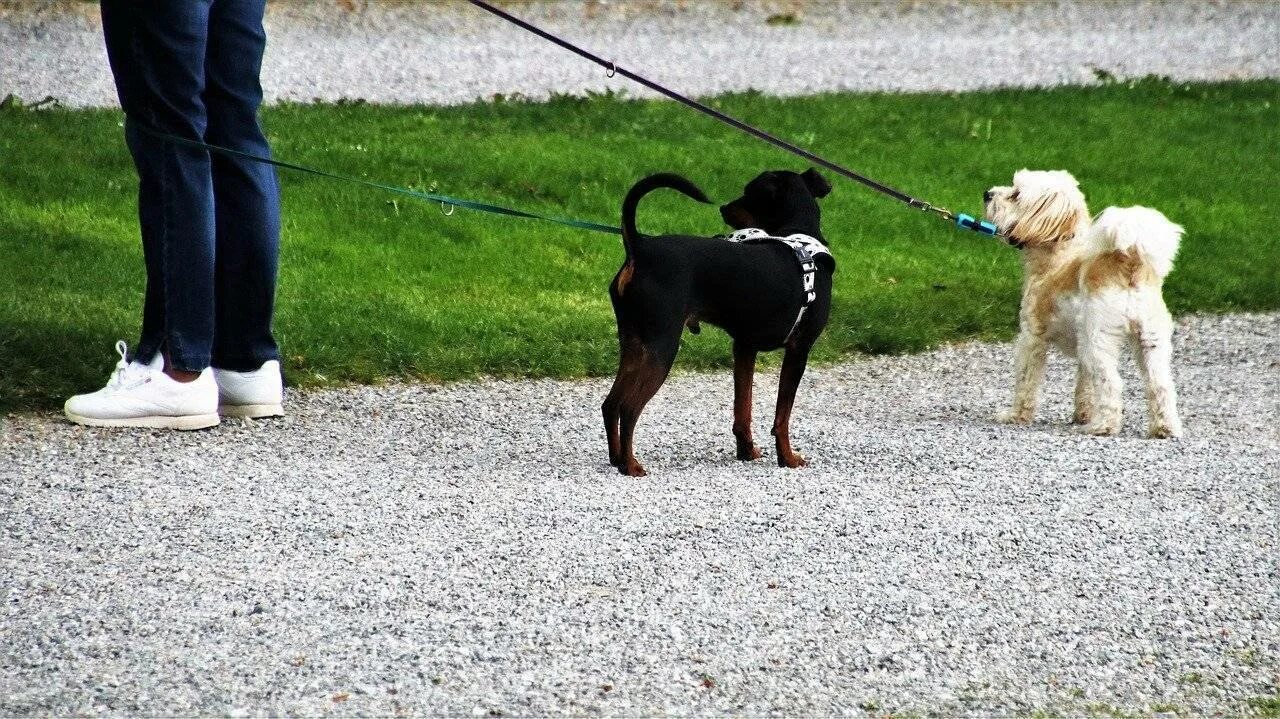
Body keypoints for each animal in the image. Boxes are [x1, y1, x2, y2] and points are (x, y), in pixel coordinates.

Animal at [601, 165, 834, 473]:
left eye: (748, 193)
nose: (723, 207)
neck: (799, 235)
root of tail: (640, 246)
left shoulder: (745, 348)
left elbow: (743, 408)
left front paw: (746, 451)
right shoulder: (799, 349)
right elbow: (782, 417)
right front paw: (788, 458)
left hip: (634, 344)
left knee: (611, 403)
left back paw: (617, 459)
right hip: (662, 348)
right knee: (628, 407)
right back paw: (630, 465)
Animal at [983, 168, 1182, 437]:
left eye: (1016, 194)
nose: (987, 194)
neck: (1059, 254)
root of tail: (1128, 264)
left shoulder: (1031, 337)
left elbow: (1025, 380)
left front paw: (1016, 415)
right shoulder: (1081, 346)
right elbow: (1085, 384)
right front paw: (1082, 414)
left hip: (1098, 341)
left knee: (1111, 383)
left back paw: (1103, 426)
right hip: (1150, 342)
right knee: (1160, 385)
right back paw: (1164, 428)